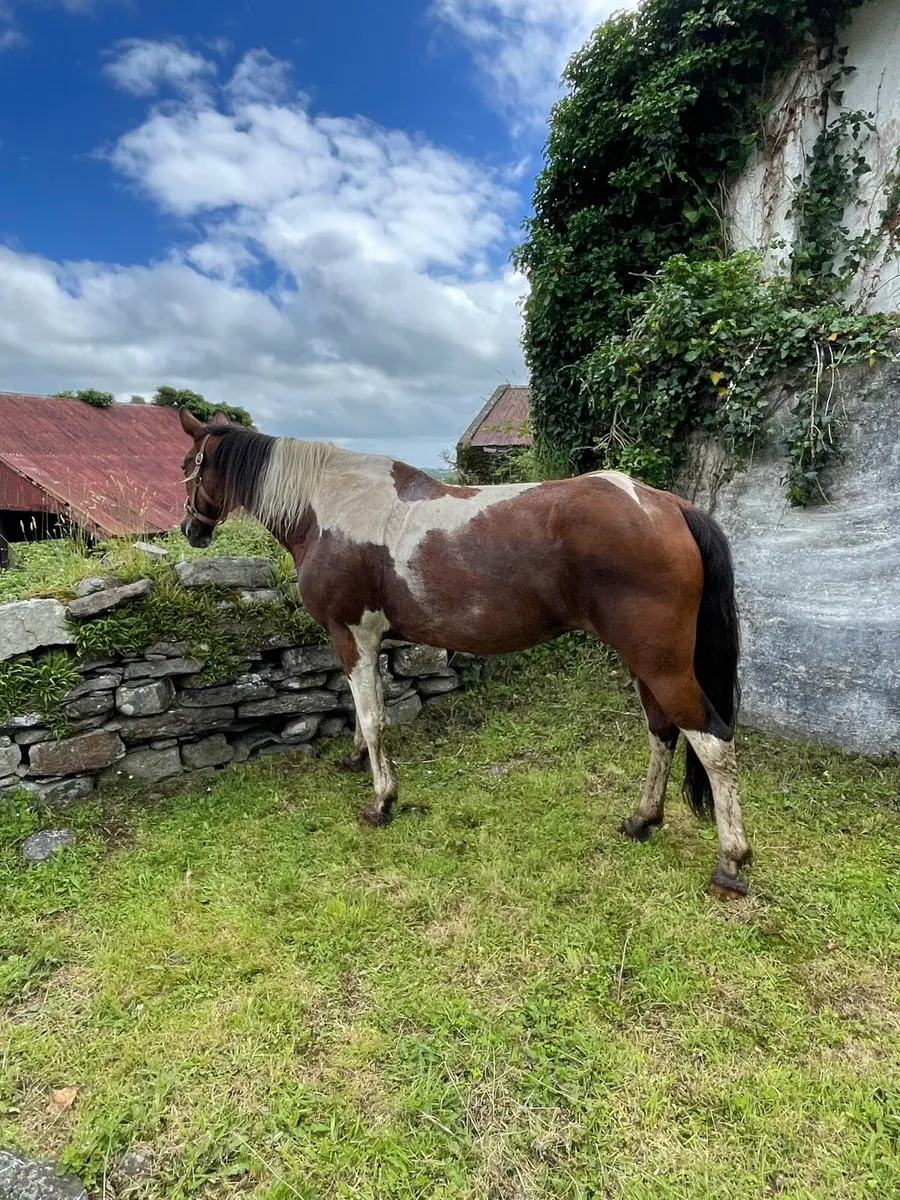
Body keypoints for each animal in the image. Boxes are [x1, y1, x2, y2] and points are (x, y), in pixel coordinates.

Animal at [178, 407, 752, 899]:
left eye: (188, 465)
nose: (190, 529)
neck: (329, 507)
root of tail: (670, 506)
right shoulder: (369, 641)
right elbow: (370, 713)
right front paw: (360, 762)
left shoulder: (351, 634)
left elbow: (372, 719)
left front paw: (382, 801)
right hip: (645, 663)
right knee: (663, 732)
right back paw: (642, 820)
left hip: (662, 663)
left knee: (713, 742)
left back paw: (731, 862)